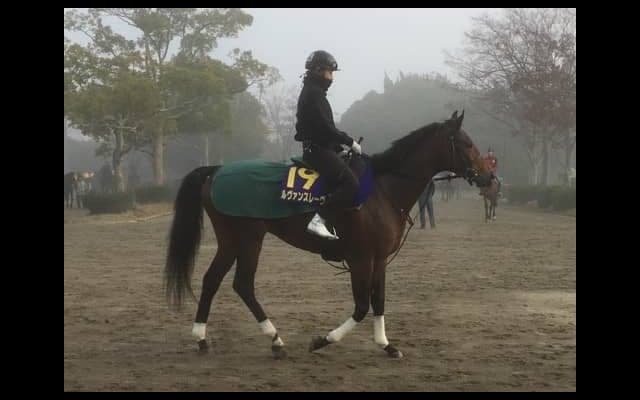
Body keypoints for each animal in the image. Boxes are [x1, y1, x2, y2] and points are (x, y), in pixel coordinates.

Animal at [164, 110, 492, 359]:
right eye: (466, 144)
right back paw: (273, 339)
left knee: (214, 280)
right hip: (248, 239)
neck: (382, 191)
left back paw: (203, 338)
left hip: (232, 241)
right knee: (241, 284)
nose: (488, 176)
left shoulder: (379, 259)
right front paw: (323, 340)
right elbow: (361, 306)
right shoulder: (360, 258)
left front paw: (386, 345)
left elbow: (378, 300)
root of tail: (216, 170)